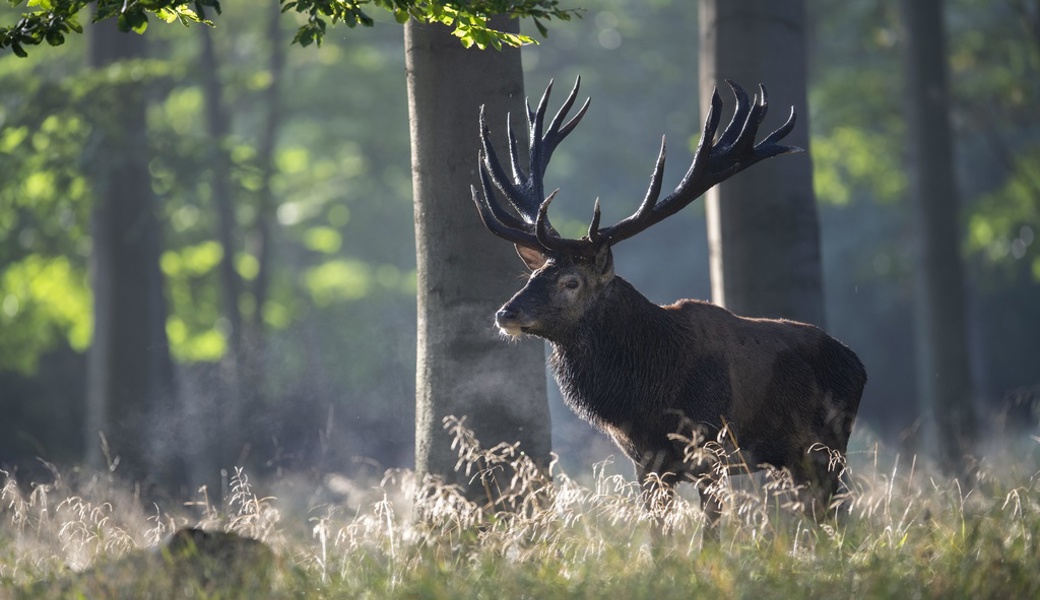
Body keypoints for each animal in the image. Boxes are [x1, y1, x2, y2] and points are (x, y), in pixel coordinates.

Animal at [474, 78, 869, 532]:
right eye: (533, 275)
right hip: (795, 457)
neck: (647, 394)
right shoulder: (646, 464)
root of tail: (859, 365)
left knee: (836, 513)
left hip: (829, 445)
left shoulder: (712, 447)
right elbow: (656, 534)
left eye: (571, 281)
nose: (506, 313)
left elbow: (711, 532)